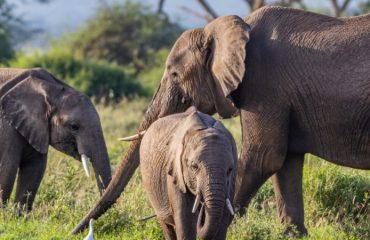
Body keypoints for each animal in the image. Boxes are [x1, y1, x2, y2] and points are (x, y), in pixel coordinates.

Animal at [139, 107, 237, 240]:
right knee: (167, 226)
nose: (203, 210)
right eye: (194, 167)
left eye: (230, 170)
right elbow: (186, 221)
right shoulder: (175, 172)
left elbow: (223, 218)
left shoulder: (231, 183)